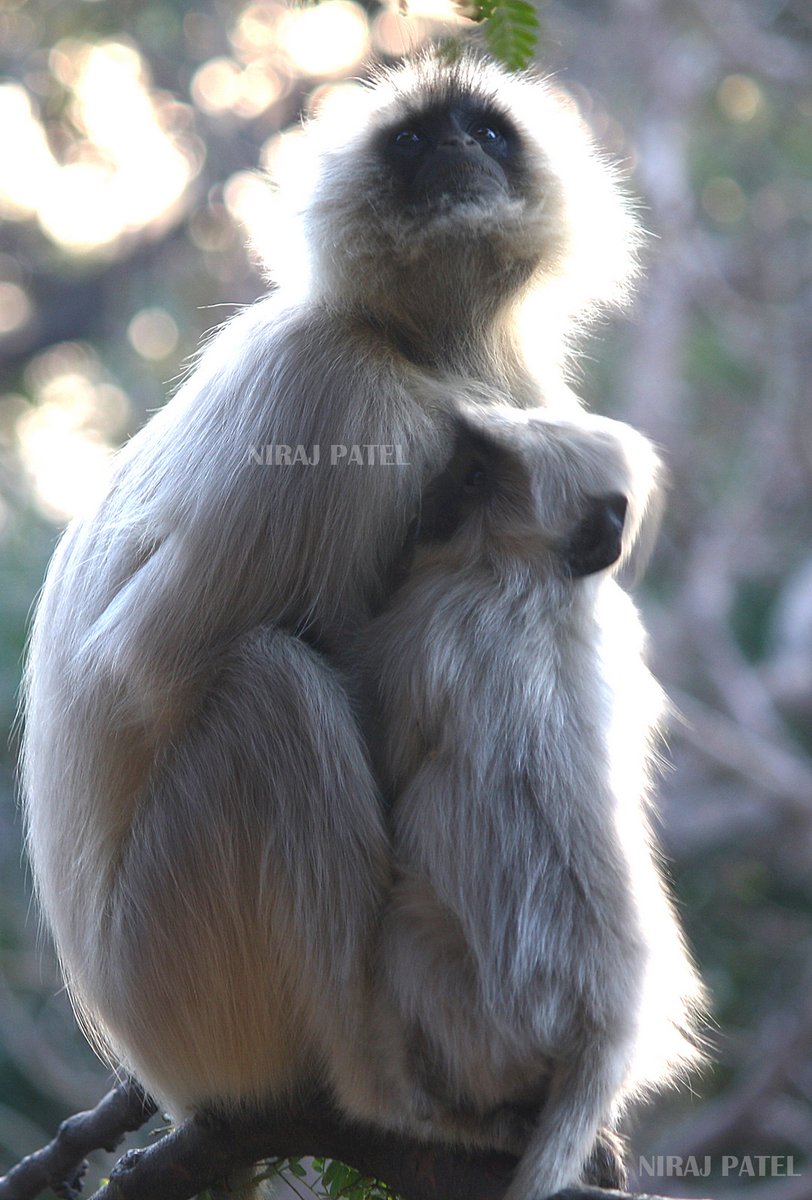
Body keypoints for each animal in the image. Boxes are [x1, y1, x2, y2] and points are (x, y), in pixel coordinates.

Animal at [346, 402, 704, 1198]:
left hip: (482, 1019)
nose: (432, 492)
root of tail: (605, 1036)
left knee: (407, 933)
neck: (537, 588)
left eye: (477, 476)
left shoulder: (428, 621)